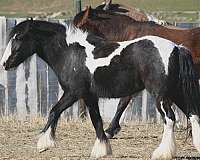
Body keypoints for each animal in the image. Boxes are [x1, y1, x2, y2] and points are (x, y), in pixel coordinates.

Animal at [1, 19, 200, 159]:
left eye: (19, 38)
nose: (4, 63)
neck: (70, 54)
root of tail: (176, 48)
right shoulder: (90, 97)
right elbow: (96, 121)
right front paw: (102, 150)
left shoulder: (73, 93)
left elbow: (54, 111)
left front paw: (44, 144)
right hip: (175, 92)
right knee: (193, 114)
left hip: (160, 95)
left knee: (170, 119)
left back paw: (162, 153)